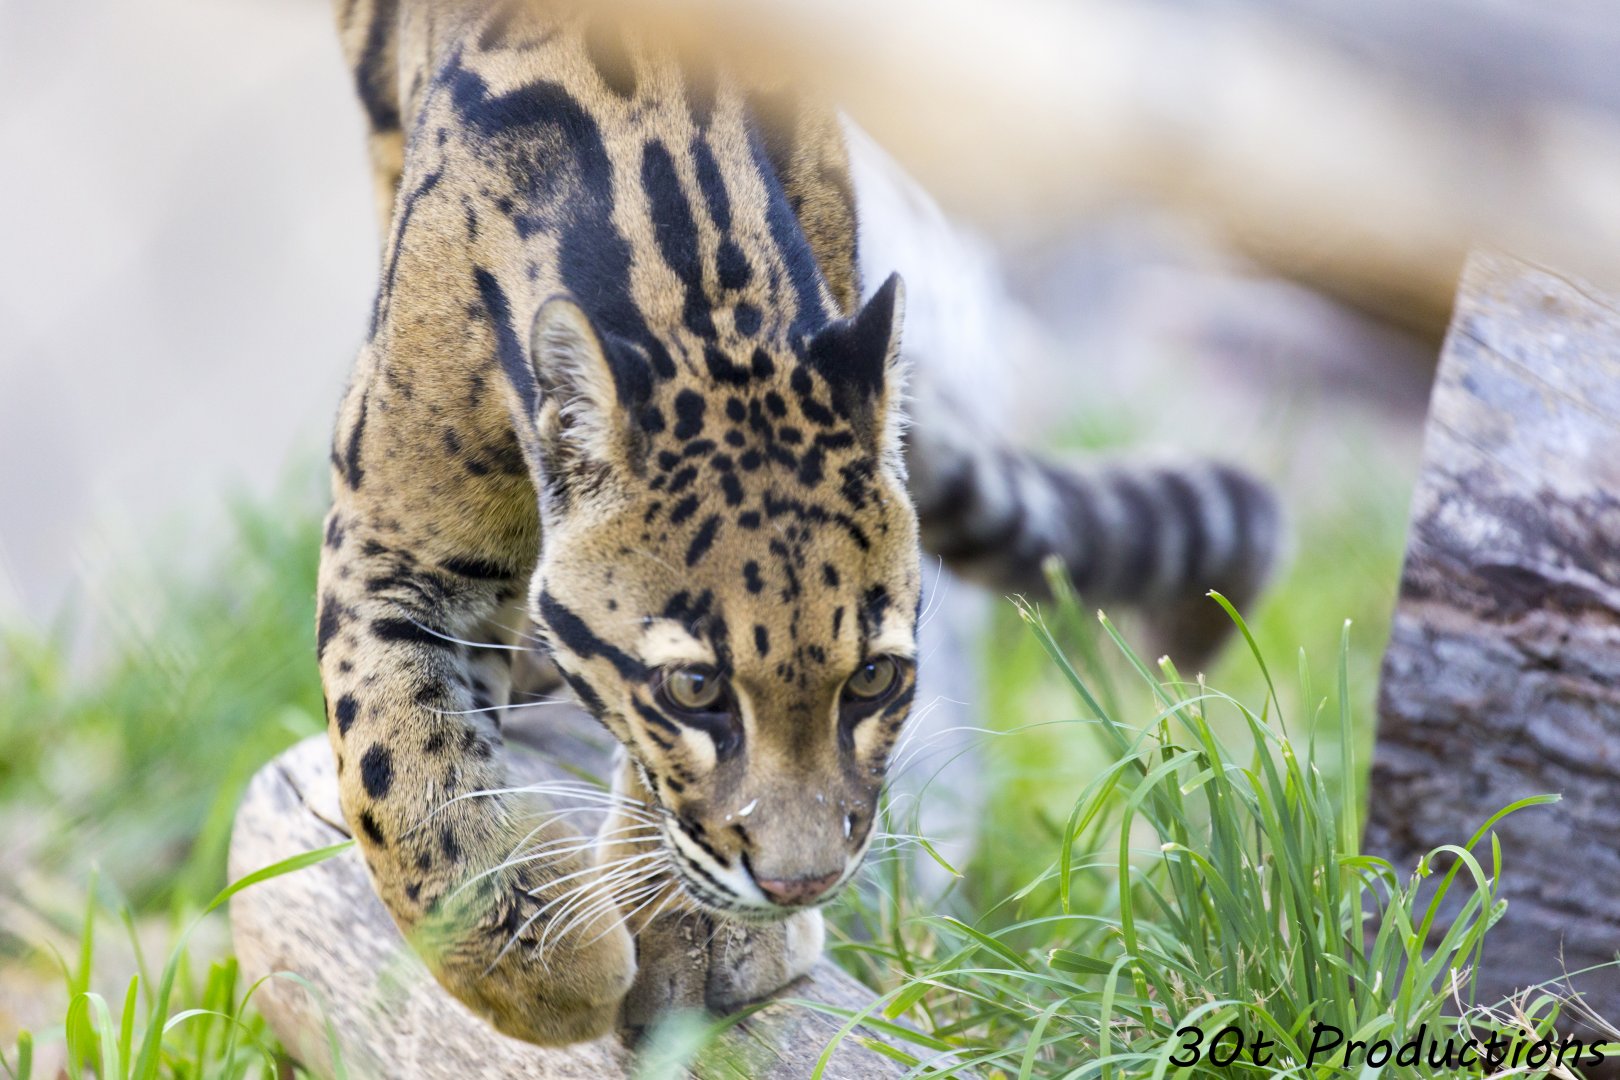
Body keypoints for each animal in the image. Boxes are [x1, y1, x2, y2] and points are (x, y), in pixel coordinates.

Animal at [318, 0, 1282, 1047]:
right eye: (695, 689)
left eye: (874, 679)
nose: (801, 882)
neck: (694, 291)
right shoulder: (390, 539)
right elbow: (394, 755)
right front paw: (538, 968)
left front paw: (698, 934)